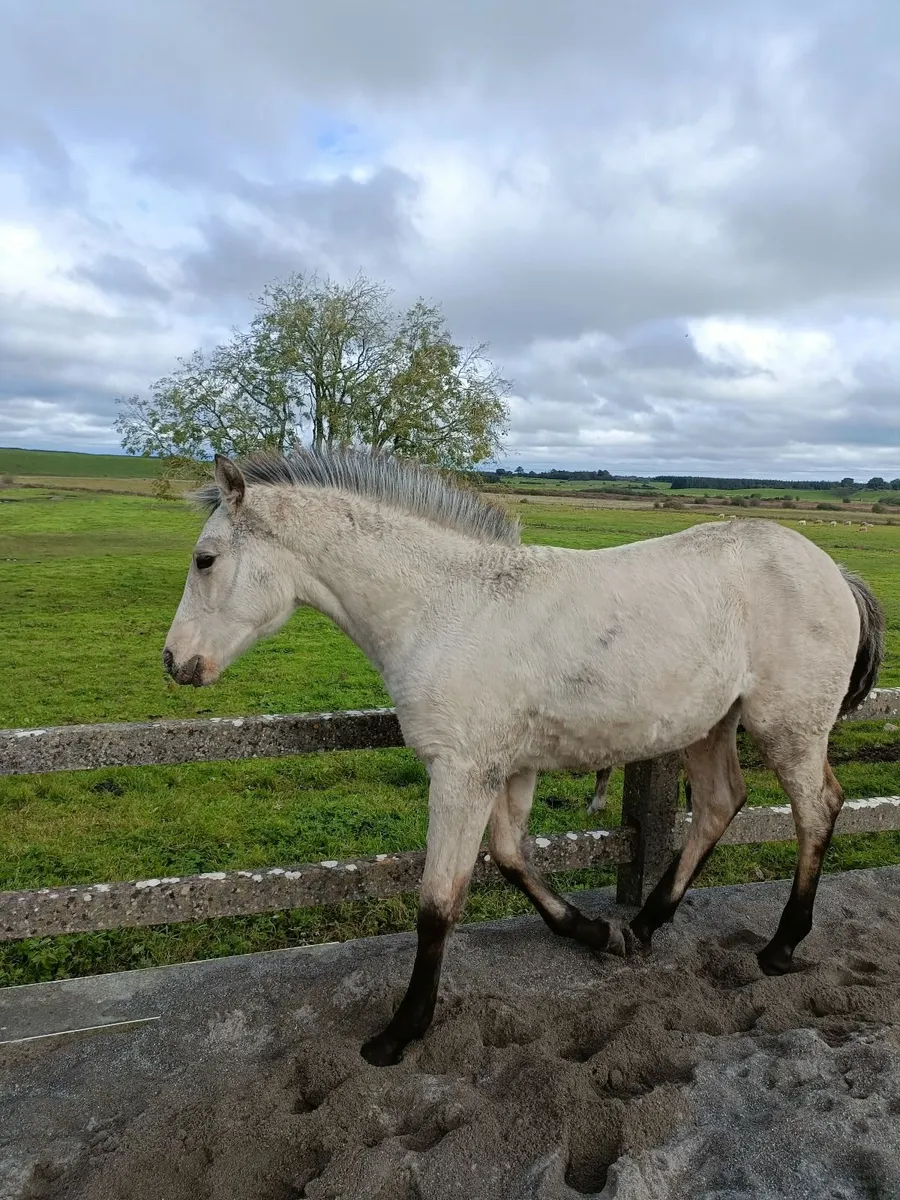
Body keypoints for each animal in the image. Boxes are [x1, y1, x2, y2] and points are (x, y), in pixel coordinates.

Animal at [163, 449, 884, 1068]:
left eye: (204, 559)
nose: (175, 663)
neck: (445, 607)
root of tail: (835, 572)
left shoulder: (461, 774)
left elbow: (438, 901)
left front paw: (400, 1033)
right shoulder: (508, 770)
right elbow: (511, 857)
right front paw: (592, 931)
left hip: (787, 727)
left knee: (816, 809)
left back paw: (781, 946)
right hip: (711, 725)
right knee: (720, 803)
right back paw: (643, 927)